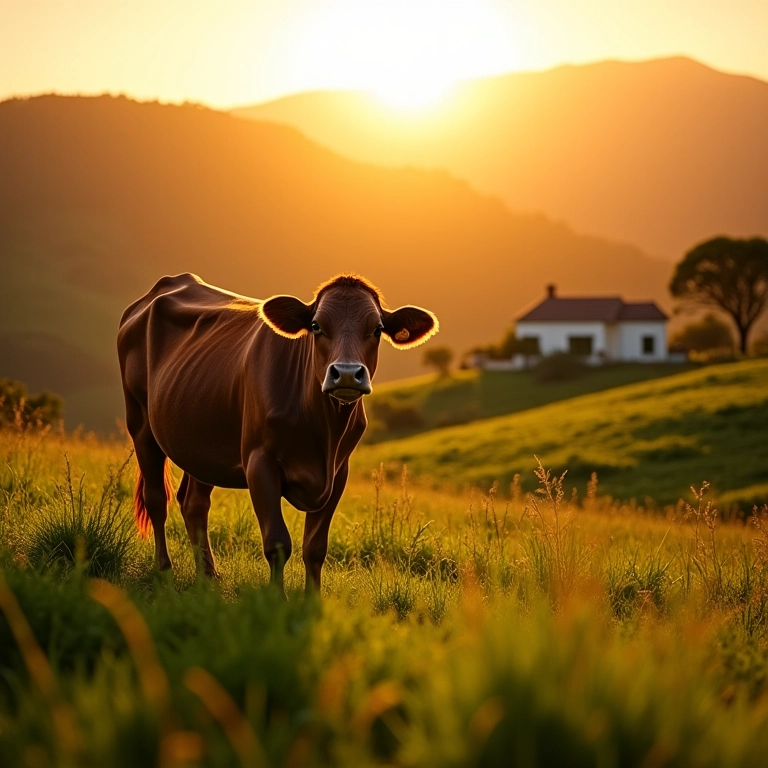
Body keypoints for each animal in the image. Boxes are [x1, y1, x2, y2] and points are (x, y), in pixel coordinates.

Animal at [117, 273, 438, 594]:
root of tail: (171, 281)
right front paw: (276, 599)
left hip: (200, 439)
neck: (323, 431)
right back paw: (164, 572)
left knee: (193, 503)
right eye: (316, 326)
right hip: (140, 420)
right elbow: (277, 542)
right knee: (156, 498)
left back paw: (208, 577)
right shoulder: (260, 463)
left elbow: (315, 547)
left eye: (377, 329)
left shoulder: (338, 472)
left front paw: (312, 600)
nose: (346, 373)